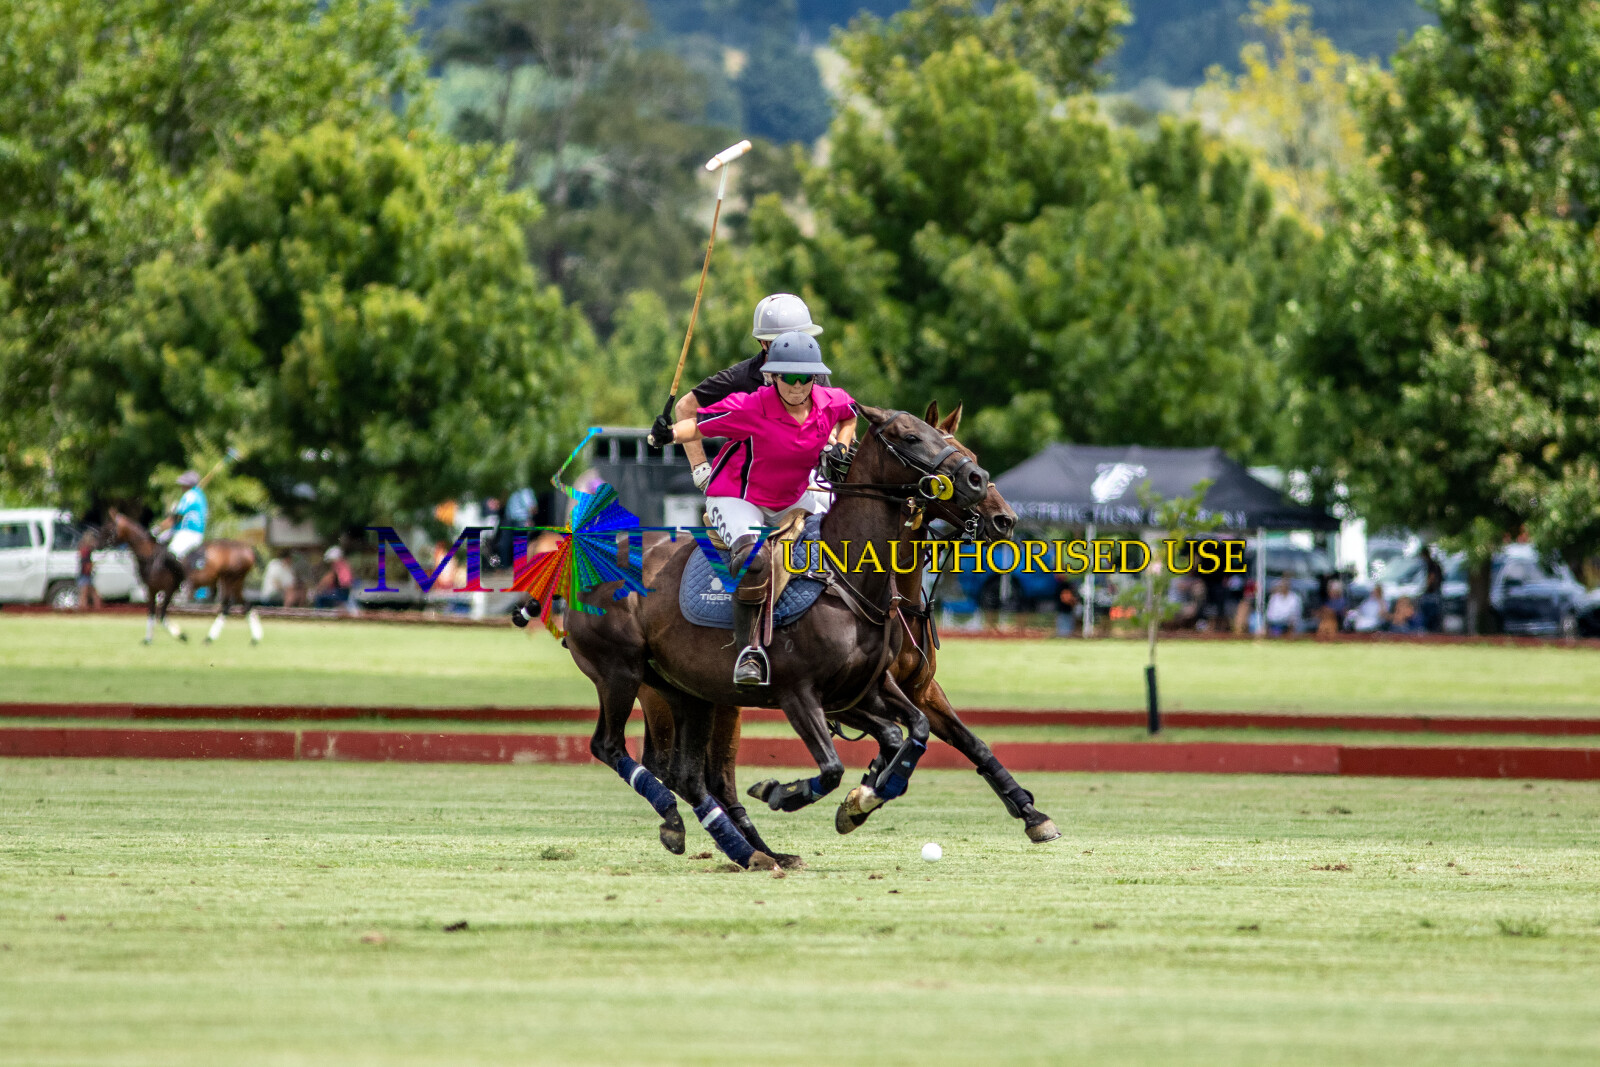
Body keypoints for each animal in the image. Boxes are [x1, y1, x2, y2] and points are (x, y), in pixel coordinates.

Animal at [103, 509, 262, 645]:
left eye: (110, 528)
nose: (102, 545)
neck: (151, 556)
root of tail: (248, 549)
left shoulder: (169, 588)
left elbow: (161, 615)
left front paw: (182, 635)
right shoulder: (152, 589)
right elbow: (152, 613)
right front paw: (148, 639)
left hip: (230, 579)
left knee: (227, 606)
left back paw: (210, 638)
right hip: (234, 581)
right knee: (246, 605)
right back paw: (255, 637)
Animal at [564, 404, 992, 868]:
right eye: (910, 437)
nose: (979, 481)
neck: (847, 575)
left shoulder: (863, 688)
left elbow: (912, 731)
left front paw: (864, 799)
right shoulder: (798, 693)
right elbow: (833, 767)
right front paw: (783, 793)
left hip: (686, 691)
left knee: (688, 775)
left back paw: (748, 850)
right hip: (620, 672)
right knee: (610, 746)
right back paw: (687, 823)